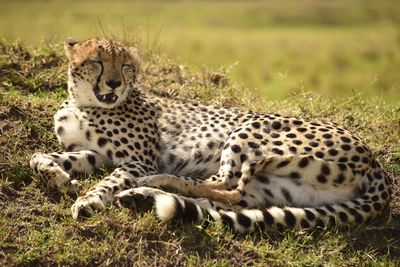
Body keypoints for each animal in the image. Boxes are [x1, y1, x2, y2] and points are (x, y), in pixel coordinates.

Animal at [29, 37, 392, 232]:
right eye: (97, 61)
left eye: (126, 66)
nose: (115, 83)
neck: (84, 102)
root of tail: (375, 162)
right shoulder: (94, 153)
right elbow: (39, 156)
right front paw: (58, 176)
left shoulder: (138, 160)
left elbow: (110, 180)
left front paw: (88, 200)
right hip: (274, 189)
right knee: (224, 201)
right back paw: (143, 197)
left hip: (250, 129)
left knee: (227, 183)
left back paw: (152, 185)